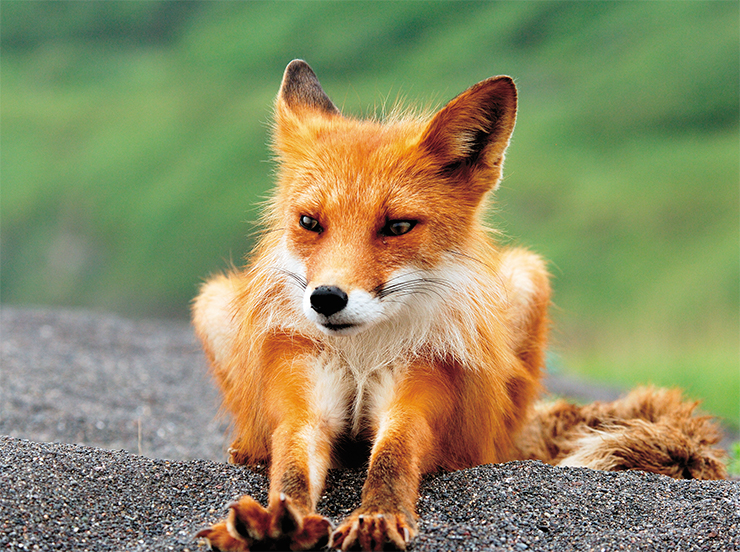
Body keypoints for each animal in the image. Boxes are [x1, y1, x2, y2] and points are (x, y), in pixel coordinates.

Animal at [192, 60, 727, 552]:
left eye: (397, 227)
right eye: (309, 222)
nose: (325, 299)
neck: (363, 353)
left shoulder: (422, 390)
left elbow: (392, 457)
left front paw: (377, 517)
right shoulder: (304, 392)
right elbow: (290, 470)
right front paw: (276, 525)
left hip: (526, 280)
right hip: (213, 301)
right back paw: (244, 451)